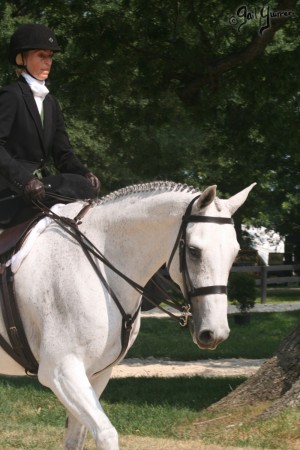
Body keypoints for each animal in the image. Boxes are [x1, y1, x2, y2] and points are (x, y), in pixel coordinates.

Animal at [0, 181, 255, 448]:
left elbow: (76, 437)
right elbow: (106, 433)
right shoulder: (60, 370)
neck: (99, 265)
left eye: (235, 253)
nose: (214, 333)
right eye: (194, 251)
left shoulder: (97, 373)